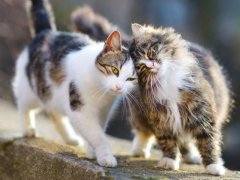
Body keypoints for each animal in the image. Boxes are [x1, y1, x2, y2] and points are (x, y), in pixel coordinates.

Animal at [13, 0, 136, 167]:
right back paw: (28, 129)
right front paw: (105, 156)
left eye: (131, 79)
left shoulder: (104, 111)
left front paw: (92, 152)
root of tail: (46, 32)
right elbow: (97, 134)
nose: (119, 87)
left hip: (54, 95)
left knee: (54, 112)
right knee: (24, 106)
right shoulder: (80, 109)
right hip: (30, 89)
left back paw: (70, 138)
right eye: (114, 69)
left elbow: (99, 129)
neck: (101, 91)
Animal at [129, 23, 231, 175]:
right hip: (139, 112)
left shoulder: (201, 112)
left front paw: (214, 166)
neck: (166, 80)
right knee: (143, 132)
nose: (151, 66)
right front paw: (169, 161)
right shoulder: (160, 117)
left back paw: (192, 157)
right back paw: (139, 150)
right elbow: (167, 141)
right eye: (141, 67)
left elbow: (208, 141)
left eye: (149, 53)